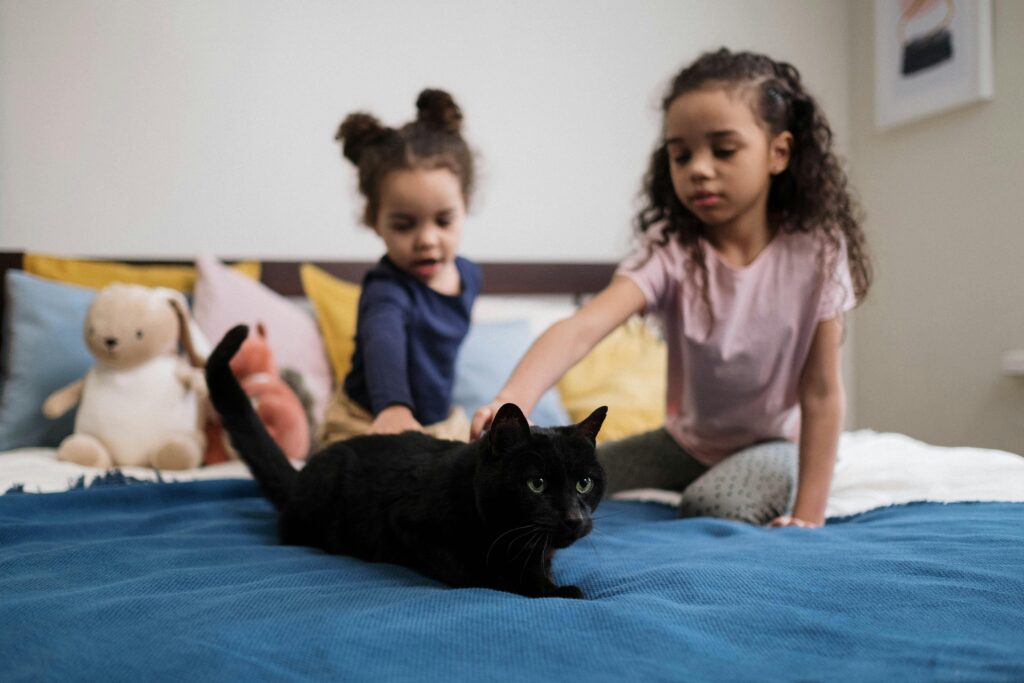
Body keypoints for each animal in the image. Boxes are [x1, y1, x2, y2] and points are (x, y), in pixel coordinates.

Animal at [207, 325, 606, 598]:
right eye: (536, 483)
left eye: (583, 483)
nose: (573, 518)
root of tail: (303, 473)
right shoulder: (409, 526)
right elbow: (470, 571)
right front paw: (524, 585)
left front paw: (550, 586)